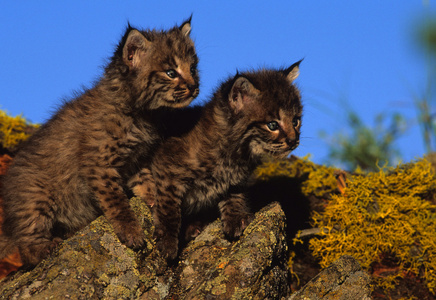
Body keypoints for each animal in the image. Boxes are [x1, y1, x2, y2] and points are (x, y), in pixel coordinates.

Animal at [0, 17, 200, 266]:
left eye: (193, 68)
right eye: (171, 72)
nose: (194, 86)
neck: (141, 113)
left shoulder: (135, 158)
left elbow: (146, 179)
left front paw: (154, 198)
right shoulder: (99, 164)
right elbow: (116, 201)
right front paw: (131, 231)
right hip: (35, 197)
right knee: (26, 244)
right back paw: (44, 248)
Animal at [127, 61, 302, 260]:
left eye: (295, 121)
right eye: (272, 125)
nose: (293, 141)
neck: (236, 154)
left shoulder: (235, 181)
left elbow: (234, 196)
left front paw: (235, 218)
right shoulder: (166, 168)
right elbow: (168, 208)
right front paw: (168, 241)